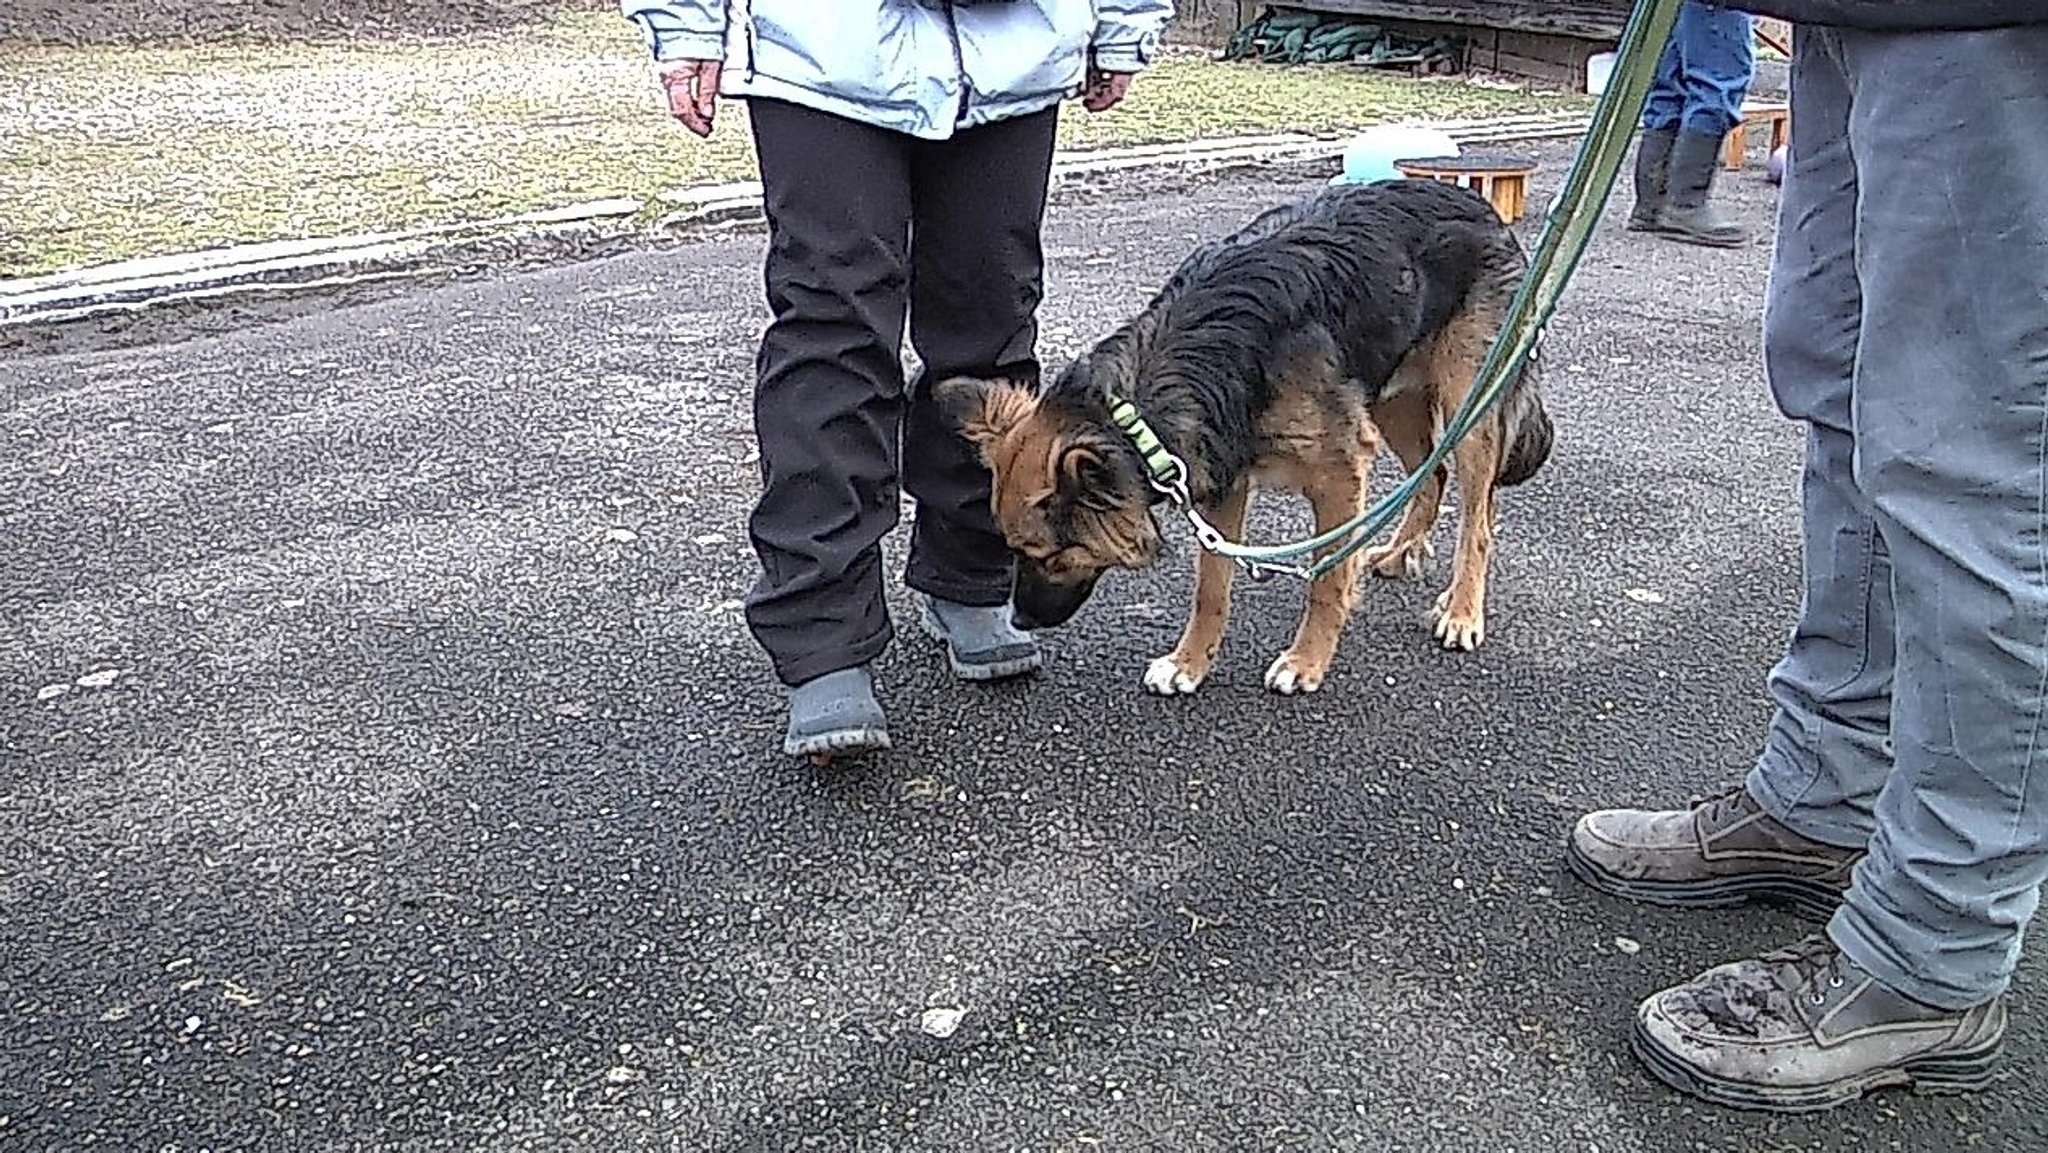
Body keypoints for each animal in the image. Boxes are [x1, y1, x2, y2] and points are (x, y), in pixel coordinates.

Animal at [937, 174, 1548, 696]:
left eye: (1049, 552)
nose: (1019, 618)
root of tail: (1481, 207)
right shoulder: (1220, 475)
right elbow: (1211, 585)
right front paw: (1189, 664)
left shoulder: (1338, 471)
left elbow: (1327, 578)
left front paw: (1306, 661)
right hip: (1392, 397)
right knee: (1433, 470)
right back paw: (1402, 551)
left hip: (1469, 402)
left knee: (1478, 517)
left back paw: (1462, 611)